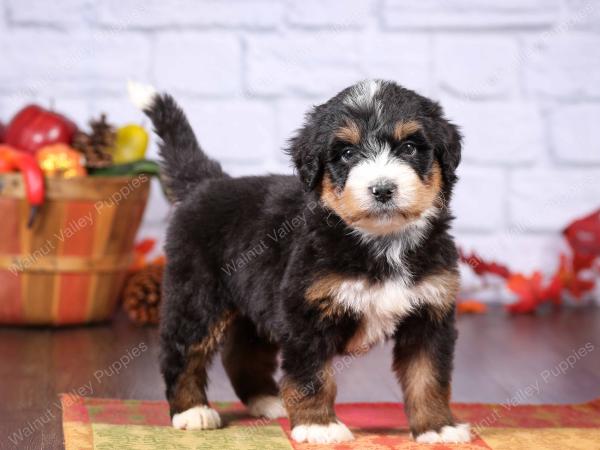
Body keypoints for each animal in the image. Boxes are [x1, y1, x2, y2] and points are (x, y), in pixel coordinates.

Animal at [129, 79, 472, 444]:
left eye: (409, 148)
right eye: (347, 153)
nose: (382, 189)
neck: (382, 242)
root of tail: (208, 183)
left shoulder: (430, 313)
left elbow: (428, 377)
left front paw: (437, 427)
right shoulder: (306, 312)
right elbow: (312, 374)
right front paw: (318, 426)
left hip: (254, 300)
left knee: (242, 353)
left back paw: (267, 400)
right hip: (197, 295)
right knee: (182, 351)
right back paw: (192, 411)